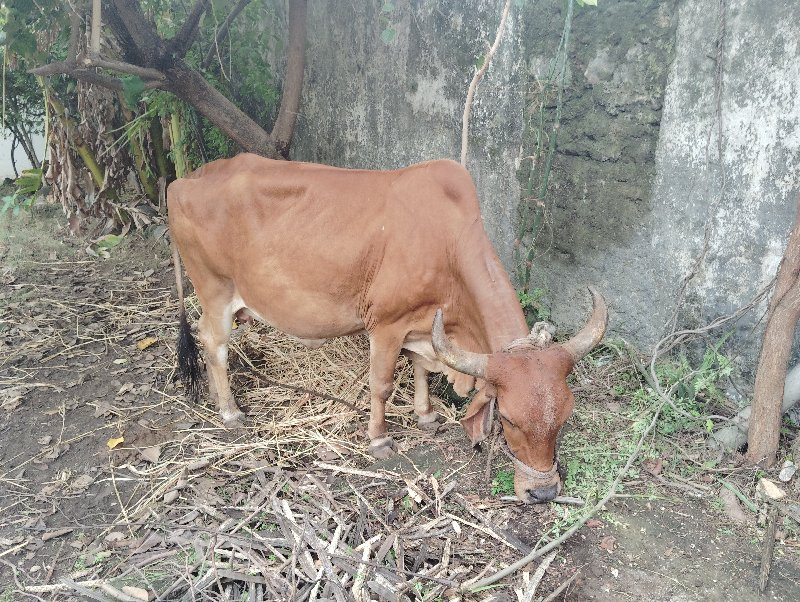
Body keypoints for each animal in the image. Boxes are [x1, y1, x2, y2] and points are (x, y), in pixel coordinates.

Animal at [169, 154, 608, 502]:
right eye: (509, 419)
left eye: (565, 417)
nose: (544, 492)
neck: (446, 243)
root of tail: (181, 182)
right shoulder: (385, 326)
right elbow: (381, 384)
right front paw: (379, 438)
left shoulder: (422, 327)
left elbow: (421, 368)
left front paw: (425, 415)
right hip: (215, 291)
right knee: (214, 344)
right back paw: (229, 410)